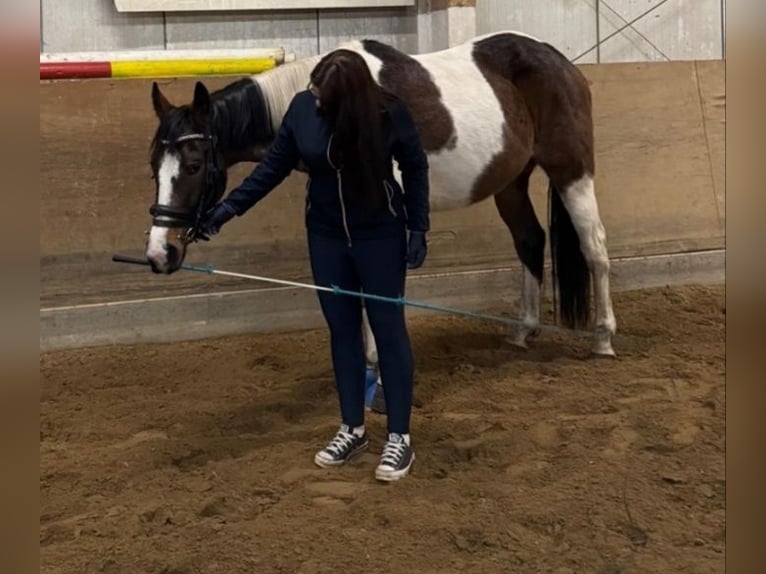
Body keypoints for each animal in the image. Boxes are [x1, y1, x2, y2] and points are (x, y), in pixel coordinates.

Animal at [144, 31, 617, 360]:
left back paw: (603, 339)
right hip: (510, 182)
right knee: (530, 241)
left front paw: (376, 362)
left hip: (572, 171)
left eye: (194, 165)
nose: (159, 252)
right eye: (154, 166)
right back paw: (523, 331)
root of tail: (558, 60)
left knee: (594, 248)